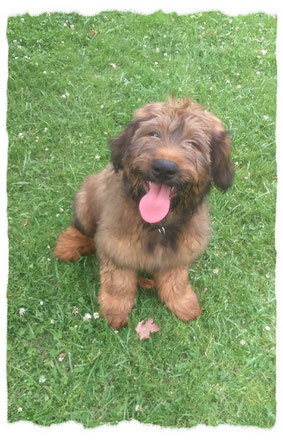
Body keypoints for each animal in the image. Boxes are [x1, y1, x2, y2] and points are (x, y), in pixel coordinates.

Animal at [54, 98, 234, 328]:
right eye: (153, 134)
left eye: (193, 144)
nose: (164, 168)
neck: (158, 225)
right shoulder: (117, 247)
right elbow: (118, 283)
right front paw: (115, 311)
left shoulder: (180, 251)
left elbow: (176, 280)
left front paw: (184, 304)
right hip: (86, 201)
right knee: (80, 229)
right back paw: (69, 246)